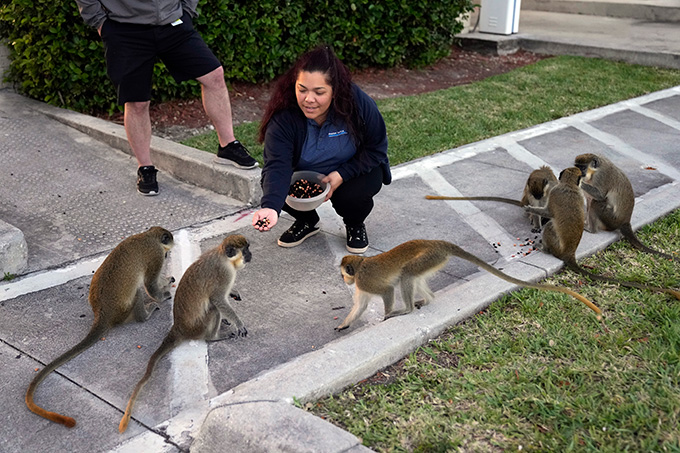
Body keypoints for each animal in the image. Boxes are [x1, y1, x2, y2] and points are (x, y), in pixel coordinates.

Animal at [25, 226, 175, 428]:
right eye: (166, 252)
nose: (168, 255)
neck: (148, 236)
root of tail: (102, 315)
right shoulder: (155, 255)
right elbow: (150, 285)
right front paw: (164, 294)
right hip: (123, 310)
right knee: (137, 289)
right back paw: (144, 316)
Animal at [118, 234, 251, 433]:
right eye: (245, 250)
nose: (251, 254)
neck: (225, 258)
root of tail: (179, 327)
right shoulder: (224, 274)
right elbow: (218, 299)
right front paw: (238, 323)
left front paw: (233, 294)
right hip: (198, 326)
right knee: (213, 308)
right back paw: (214, 336)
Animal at [335, 238, 602, 331]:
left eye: (344, 274)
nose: (344, 278)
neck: (360, 265)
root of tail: (436, 243)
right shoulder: (361, 284)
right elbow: (360, 307)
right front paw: (344, 324)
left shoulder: (365, 280)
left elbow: (388, 290)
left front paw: (388, 315)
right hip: (433, 260)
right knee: (413, 276)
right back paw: (426, 300)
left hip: (430, 256)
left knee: (406, 275)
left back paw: (408, 309)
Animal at [426, 166, 558, 230]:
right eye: (536, 195)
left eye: (539, 194)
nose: (538, 197)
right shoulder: (530, 192)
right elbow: (535, 206)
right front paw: (537, 225)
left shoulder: (550, 189)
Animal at [525, 166, 680, 300]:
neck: (569, 186)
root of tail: (569, 253)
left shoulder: (554, 192)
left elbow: (548, 212)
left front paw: (529, 209)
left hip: (556, 244)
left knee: (551, 226)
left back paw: (544, 248)